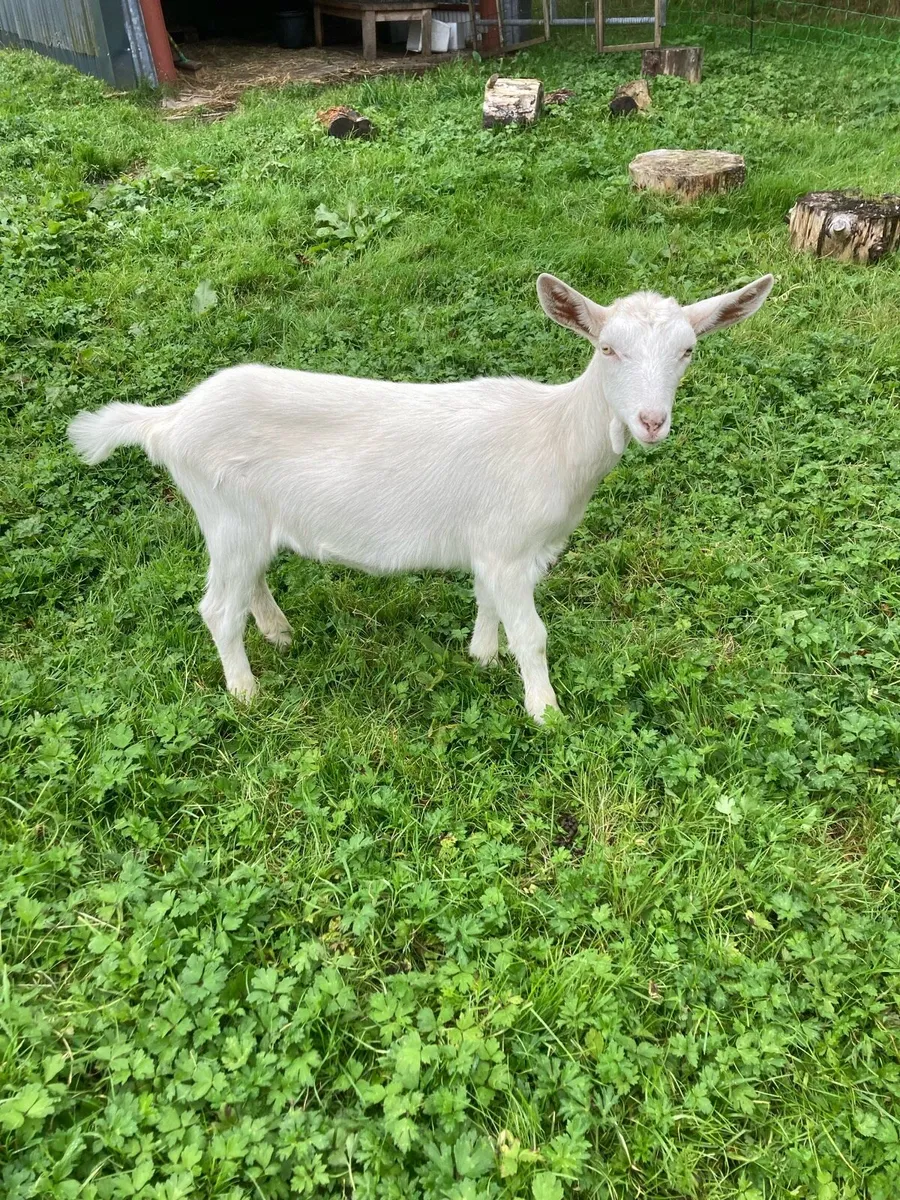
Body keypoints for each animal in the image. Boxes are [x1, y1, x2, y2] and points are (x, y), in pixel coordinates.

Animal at [68, 272, 773, 720]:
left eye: (688, 351)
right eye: (607, 348)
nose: (652, 422)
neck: (554, 434)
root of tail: (167, 422)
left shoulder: (494, 546)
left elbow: (487, 603)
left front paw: (482, 656)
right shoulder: (511, 548)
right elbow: (533, 635)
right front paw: (545, 712)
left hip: (242, 519)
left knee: (249, 583)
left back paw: (279, 633)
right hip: (226, 513)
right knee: (217, 608)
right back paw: (245, 693)